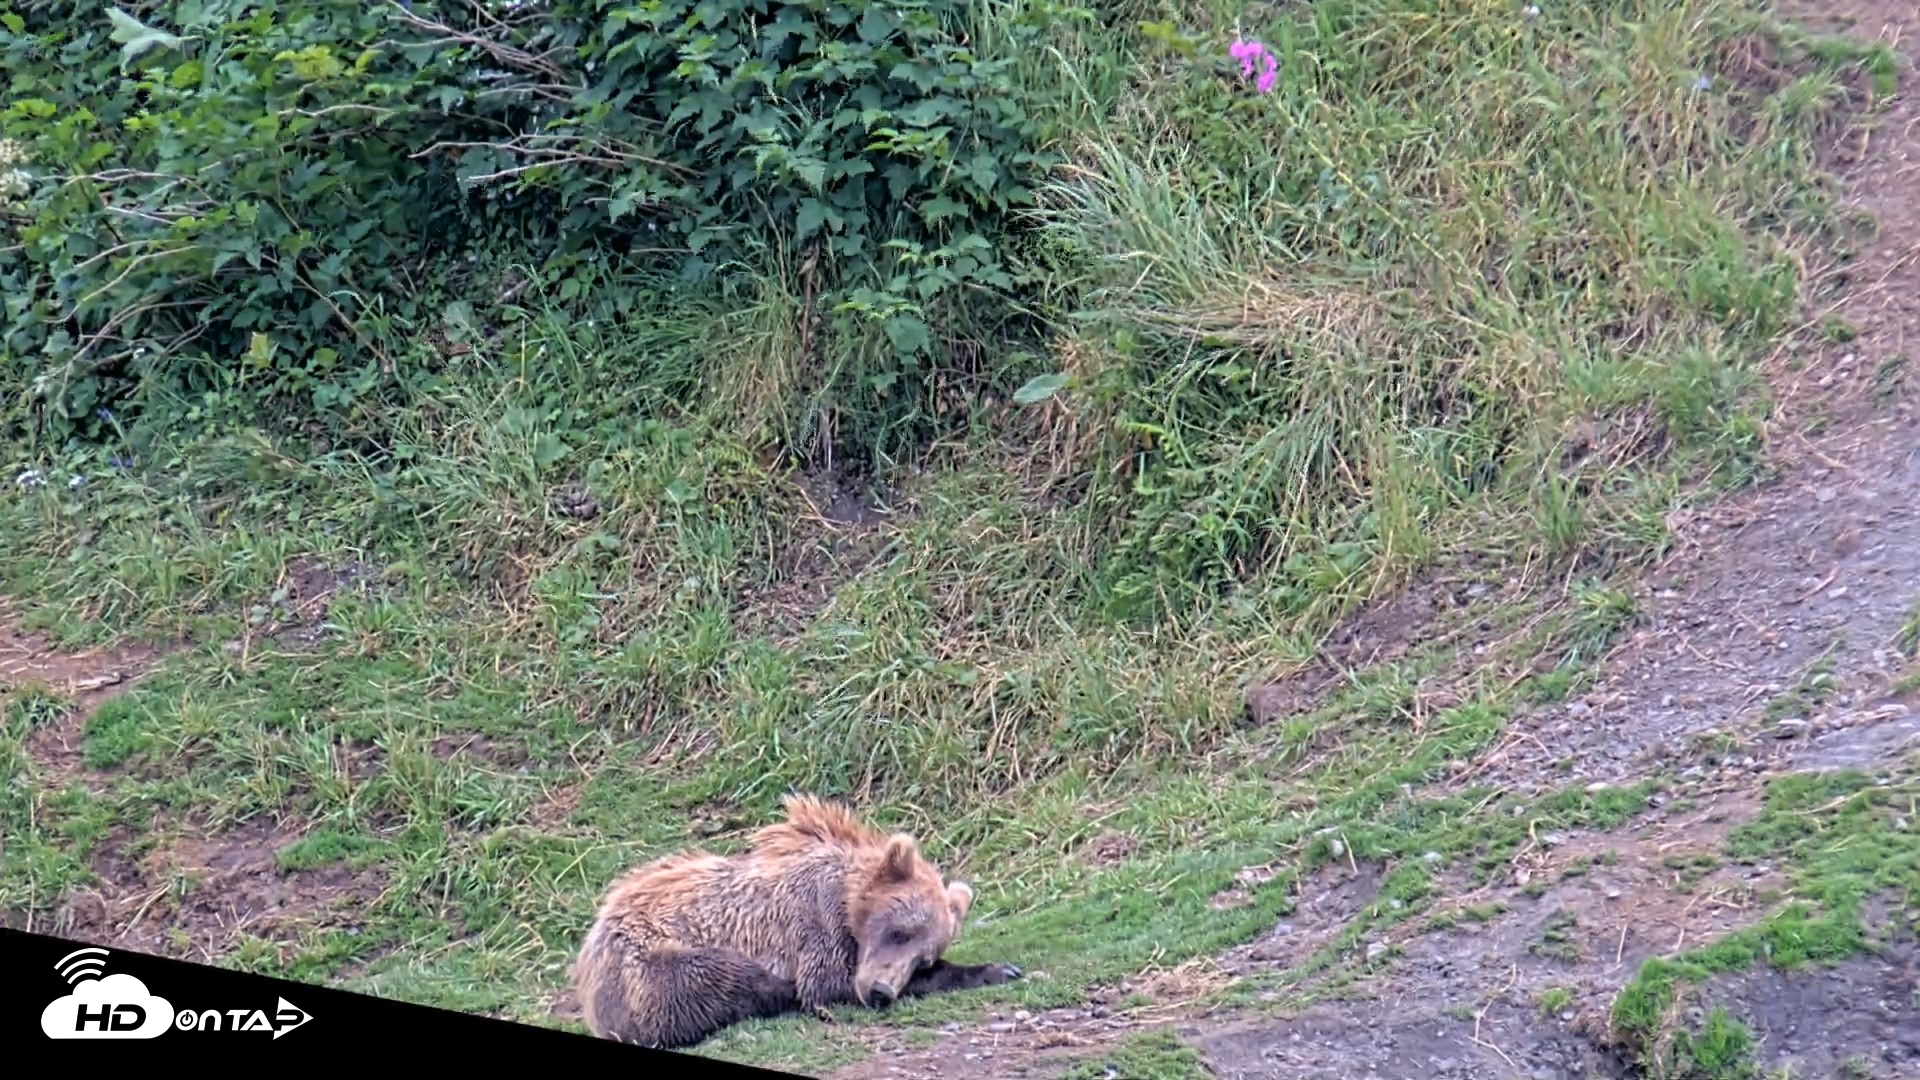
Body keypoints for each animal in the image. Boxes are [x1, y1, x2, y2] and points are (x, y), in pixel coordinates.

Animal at [572, 793, 1024, 1049]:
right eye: (900, 931)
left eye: (922, 957)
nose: (880, 991)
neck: (846, 900)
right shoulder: (809, 922)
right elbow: (825, 981)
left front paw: (1000, 968)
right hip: (644, 964)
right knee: (716, 976)